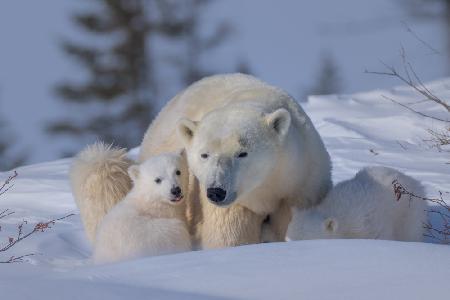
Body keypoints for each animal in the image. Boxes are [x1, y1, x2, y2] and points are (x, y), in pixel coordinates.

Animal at [72, 73, 332, 248]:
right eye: (204, 154)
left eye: (242, 153)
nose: (216, 191)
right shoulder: (223, 201)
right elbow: (228, 233)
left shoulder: (301, 182)